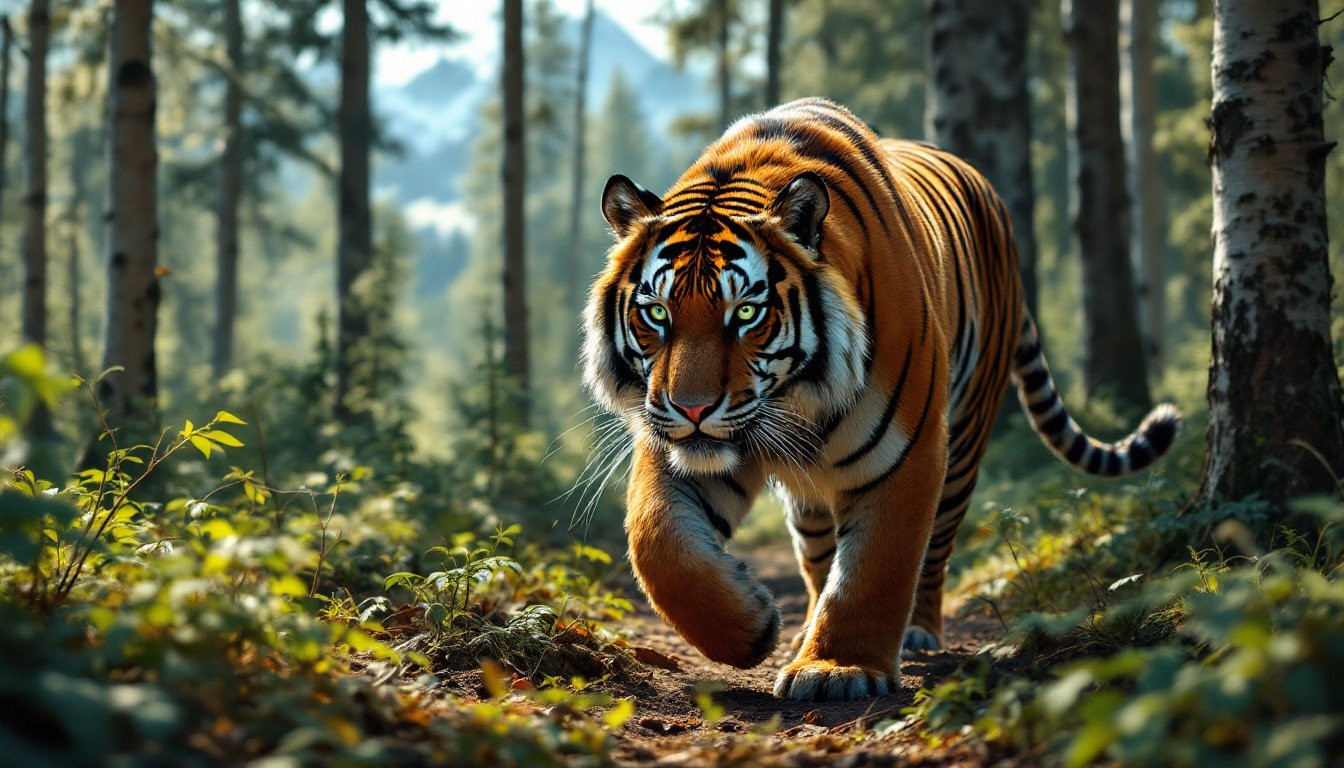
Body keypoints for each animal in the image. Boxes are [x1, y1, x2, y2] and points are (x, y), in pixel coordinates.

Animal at [582, 98, 1180, 702]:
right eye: (658, 313)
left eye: (746, 313)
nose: (693, 409)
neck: (793, 400)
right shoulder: (677, 449)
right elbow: (659, 545)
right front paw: (752, 627)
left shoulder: (906, 452)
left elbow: (874, 570)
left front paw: (837, 669)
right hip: (808, 500)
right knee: (819, 556)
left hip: (963, 444)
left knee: (934, 551)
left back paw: (915, 632)